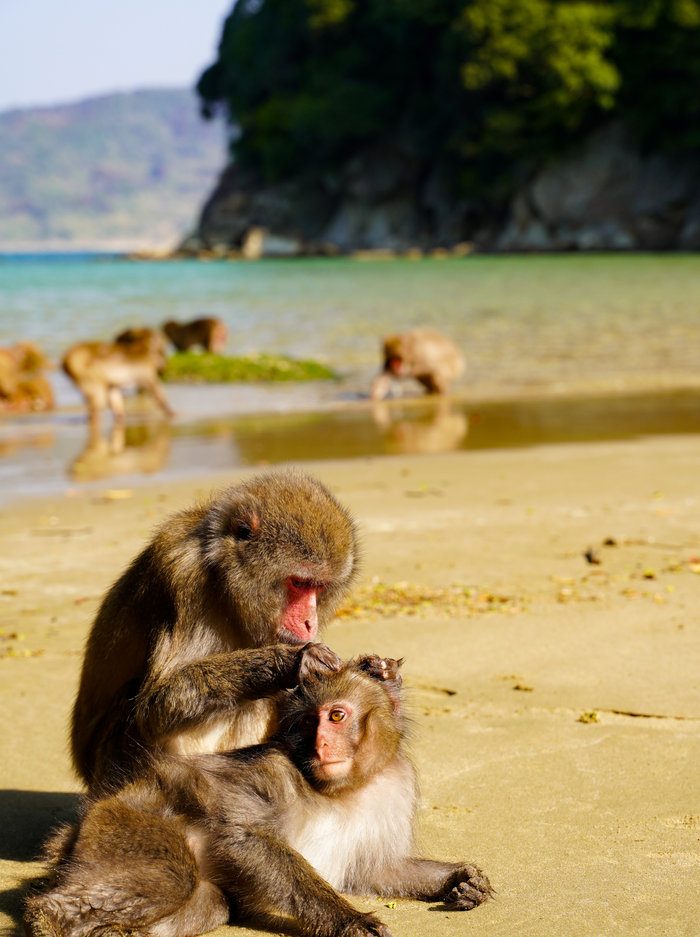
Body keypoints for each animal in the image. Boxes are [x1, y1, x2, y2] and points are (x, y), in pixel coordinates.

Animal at [26, 655, 493, 937]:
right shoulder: (273, 771)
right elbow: (244, 836)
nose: (321, 744)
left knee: (209, 901)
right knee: (174, 876)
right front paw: (349, 919)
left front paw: (460, 881)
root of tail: (77, 830)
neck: (347, 789)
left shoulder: (394, 790)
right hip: (120, 826)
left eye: (335, 716)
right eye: (307, 723)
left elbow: (378, 868)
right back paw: (49, 919)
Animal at [70, 469, 358, 794]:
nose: (310, 622)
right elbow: (155, 707)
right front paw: (293, 661)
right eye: (299, 583)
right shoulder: (182, 573)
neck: (224, 585)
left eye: (319, 587)